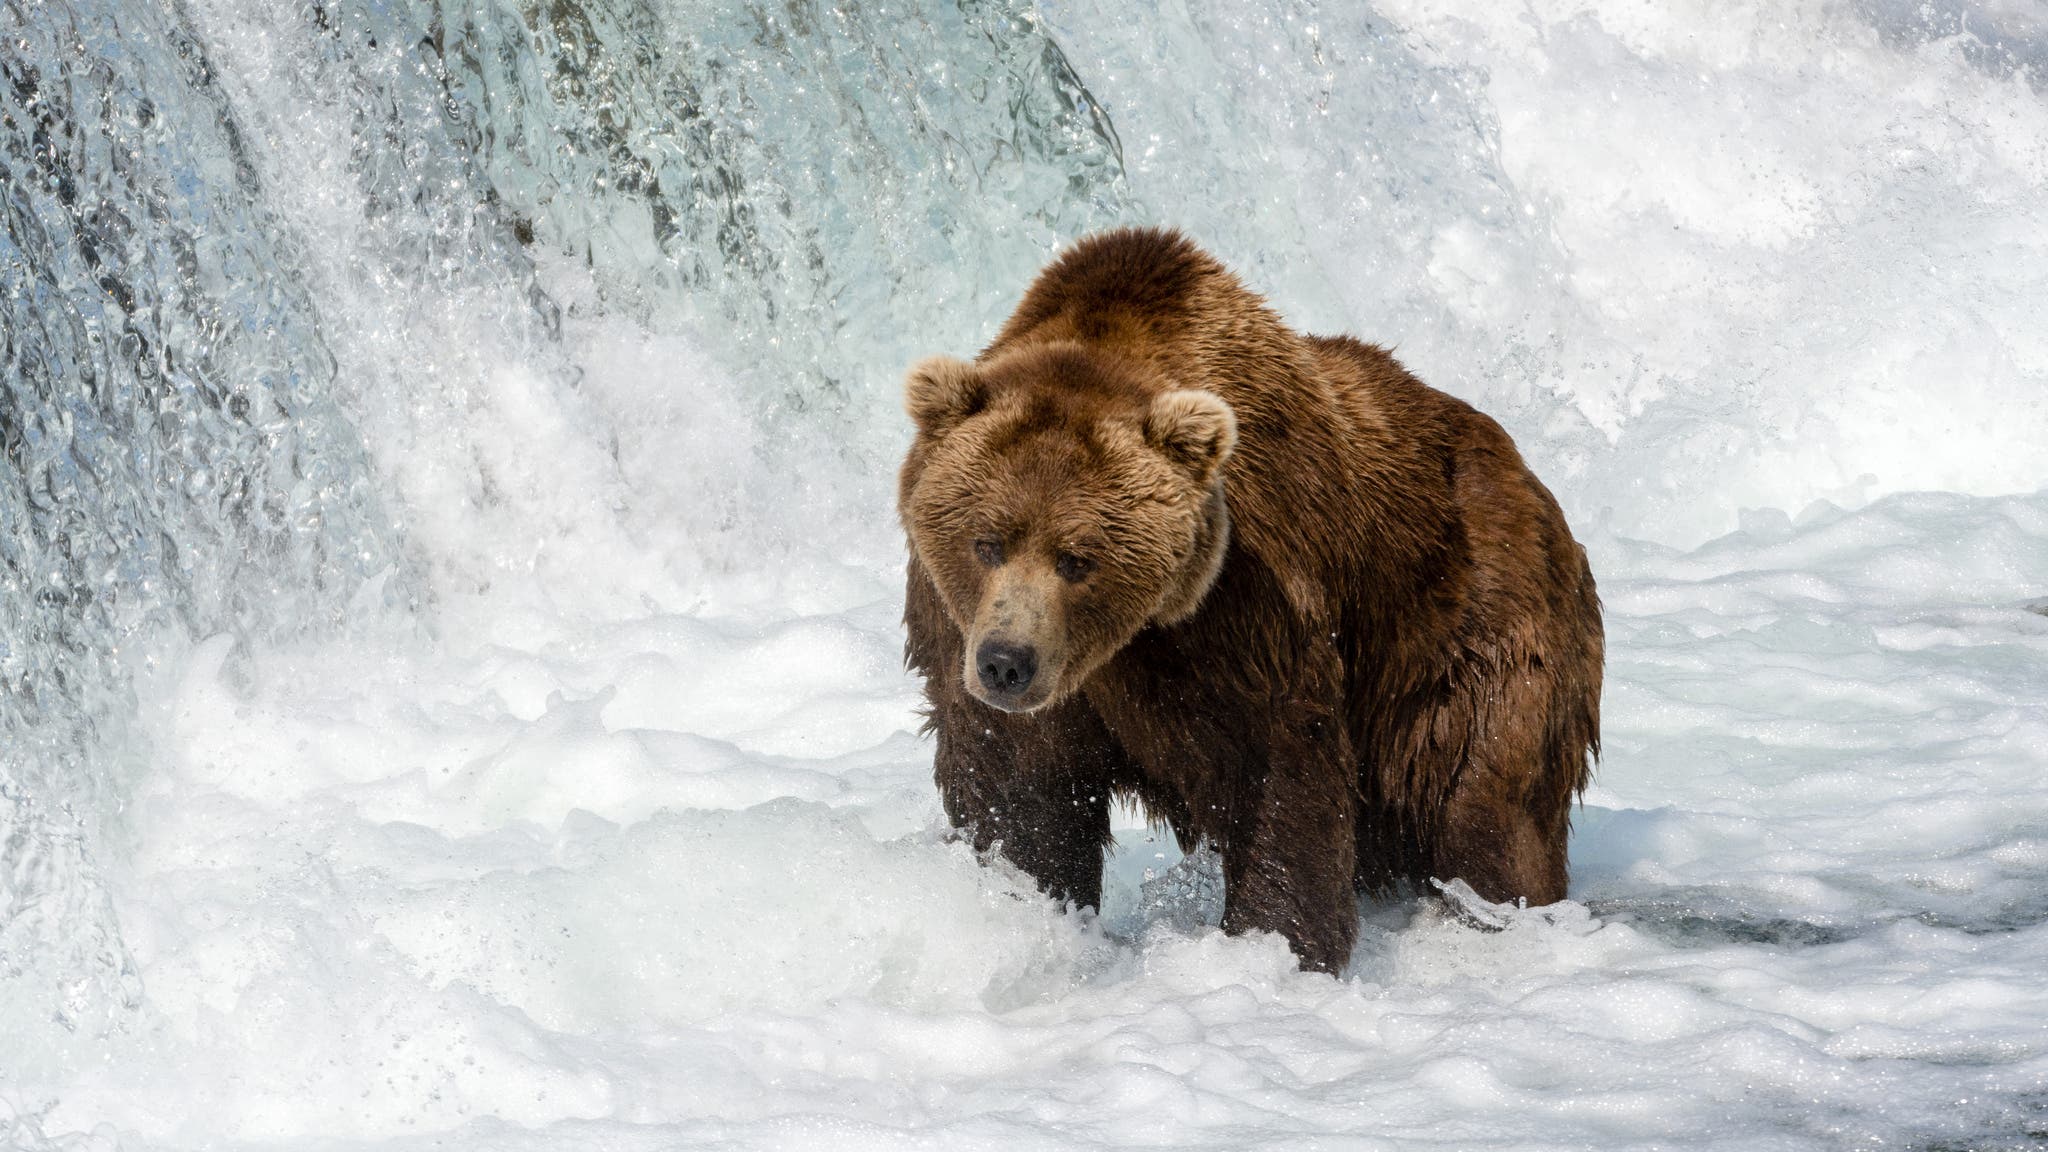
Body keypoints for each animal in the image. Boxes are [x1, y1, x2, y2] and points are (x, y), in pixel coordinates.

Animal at [899, 227, 1603, 973]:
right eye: (986, 542)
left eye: (1077, 558)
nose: (1008, 662)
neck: (1125, 642)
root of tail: (1525, 474)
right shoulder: (963, 629)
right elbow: (1017, 787)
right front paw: (1020, 908)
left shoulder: (1241, 605)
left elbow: (1277, 769)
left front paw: (1277, 942)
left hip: (1477, 618)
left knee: (1486, 798)